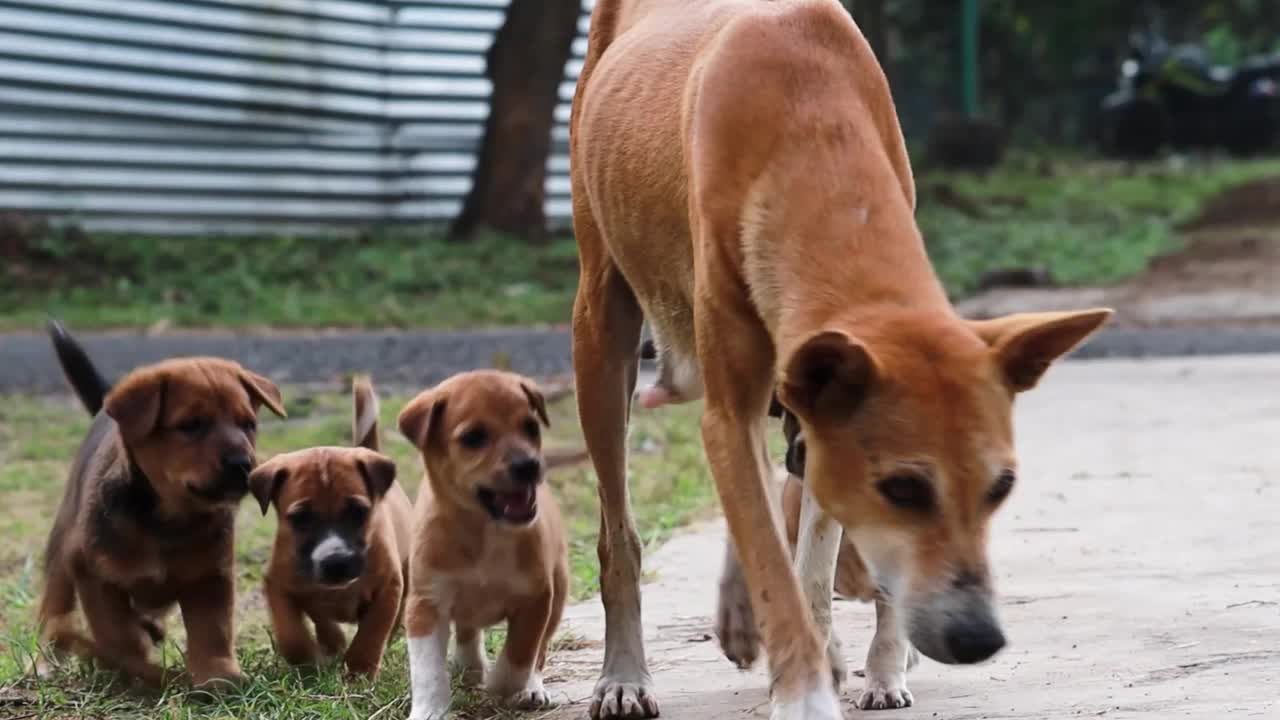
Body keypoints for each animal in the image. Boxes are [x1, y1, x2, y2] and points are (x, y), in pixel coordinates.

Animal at [36, 317, 285, 681]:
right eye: (191, 425)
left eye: (248, 424)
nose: (243, 464)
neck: (167, 519)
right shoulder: (94, 575)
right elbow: (117, 632)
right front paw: (136, 668)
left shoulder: (210, 575)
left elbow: (213, 629)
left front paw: (217, 676)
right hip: (62, 549)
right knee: (55, 606)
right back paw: (46, 659)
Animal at [248, 376, 409, 676]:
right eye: (299, 518)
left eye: (359, 512)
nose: (336, 562)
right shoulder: (277, 584)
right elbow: (290, 632)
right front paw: (307, 661)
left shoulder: (388, 587)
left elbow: (372, 633)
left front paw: (359, 671)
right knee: (322, 618)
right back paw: (331, 642)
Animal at [399, 368, 570, 717]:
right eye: (473, 437)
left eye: (531, 427)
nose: (529, 465)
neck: (483, 531)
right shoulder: (425, 603)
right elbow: (427, 670)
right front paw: (429, 710)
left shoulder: (536, 599)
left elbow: (520, 654)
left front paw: (501, 685)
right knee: (468, 631)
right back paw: (470, 666)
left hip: (559, 592)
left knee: (539, 652)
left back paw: (530, 688)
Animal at [570, 2, 1111, 712]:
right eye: (903, 488)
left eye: (1002, 487)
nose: (978, 639)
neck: (813, 134)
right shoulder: (735, 411)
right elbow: (771, 549)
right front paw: (804, 690)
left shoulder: (819, 408)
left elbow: (808, 551)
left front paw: (841, 652)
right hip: (600, 325)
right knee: (620, 531)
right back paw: (626, 673)